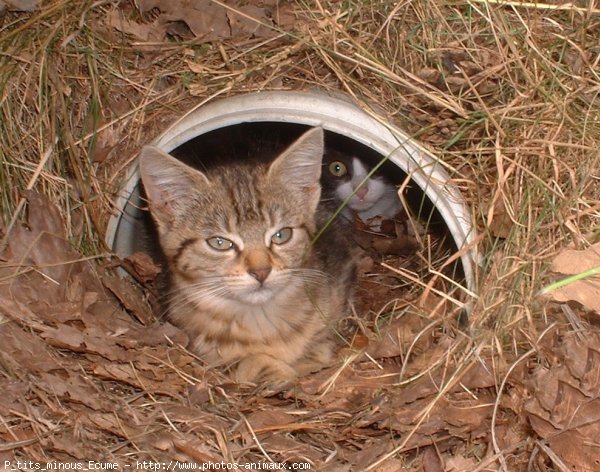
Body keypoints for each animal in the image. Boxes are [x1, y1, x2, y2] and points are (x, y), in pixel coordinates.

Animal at [139, 128, 356, 384]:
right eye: (219, 243)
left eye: (281, 235)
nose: (261, 271)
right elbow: (243, 363)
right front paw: (275, 370)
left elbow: (322, 341)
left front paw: (310, 357)